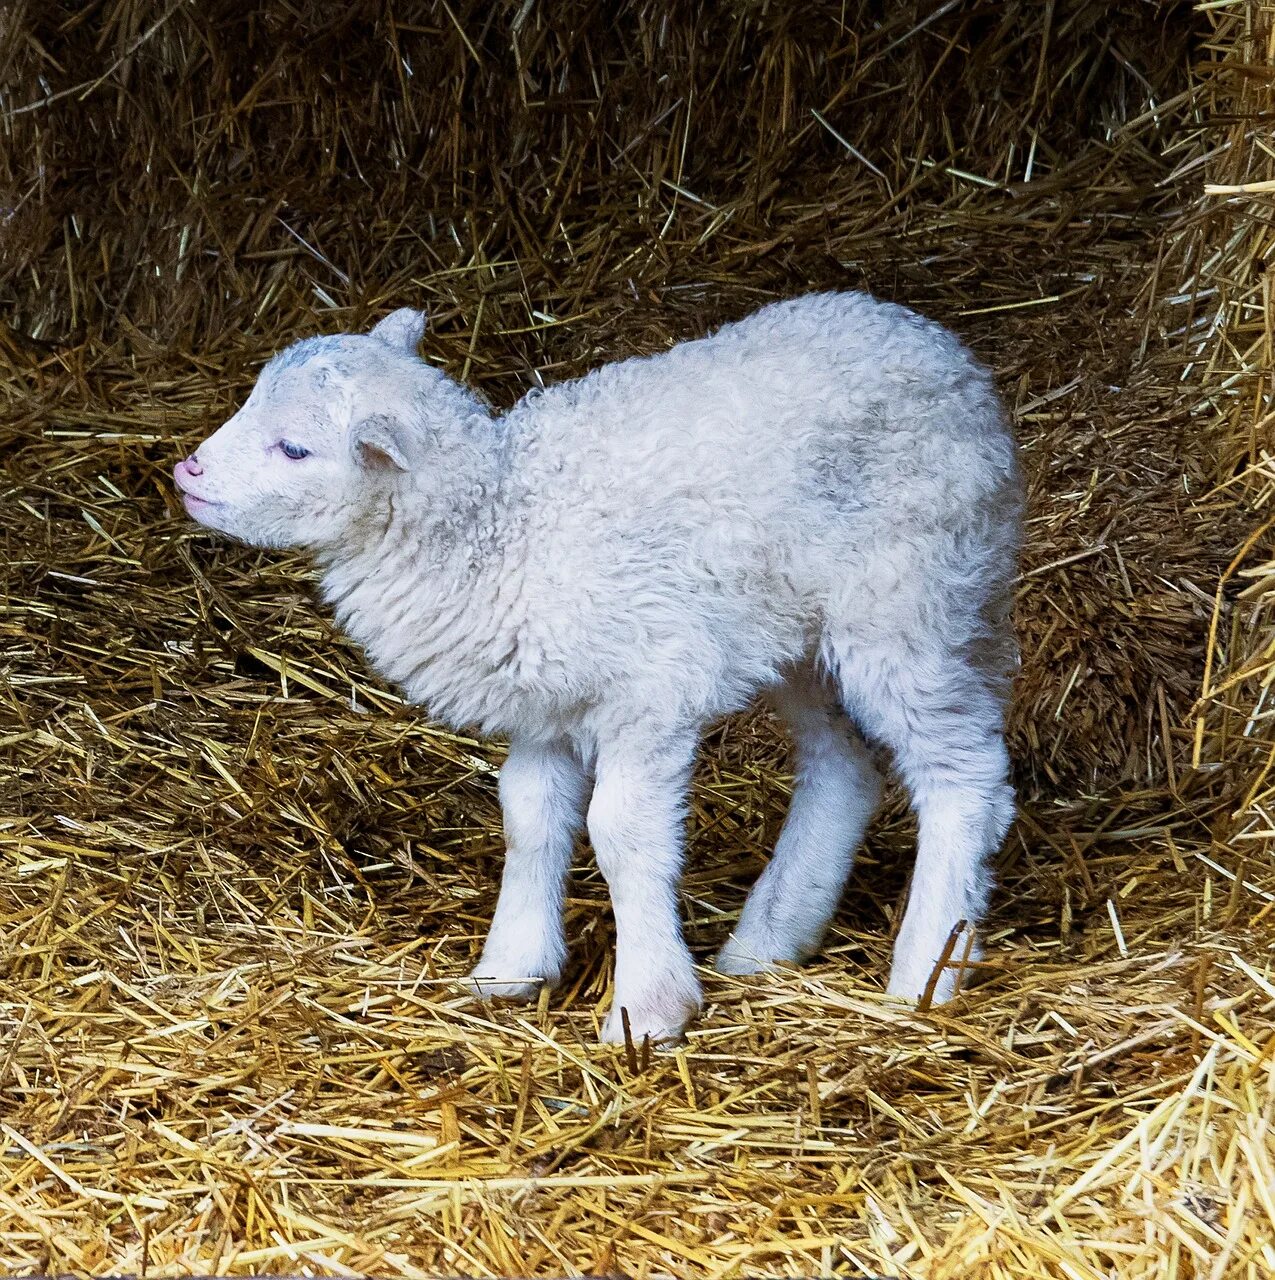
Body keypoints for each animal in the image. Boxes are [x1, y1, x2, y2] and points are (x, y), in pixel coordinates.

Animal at [171, 294, 1024, 1044]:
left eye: (294, 449)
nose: (188, 472)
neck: (501, 523)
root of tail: (936, 345)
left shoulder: (648, 694)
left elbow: (618, 835)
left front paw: (648, 1007)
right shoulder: (544, 707)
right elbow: (528, 818)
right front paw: (509, 967)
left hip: (906, 601)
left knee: (963, 772)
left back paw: (926, 969)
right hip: (800, 634)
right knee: (842, 766)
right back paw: (770, 938)